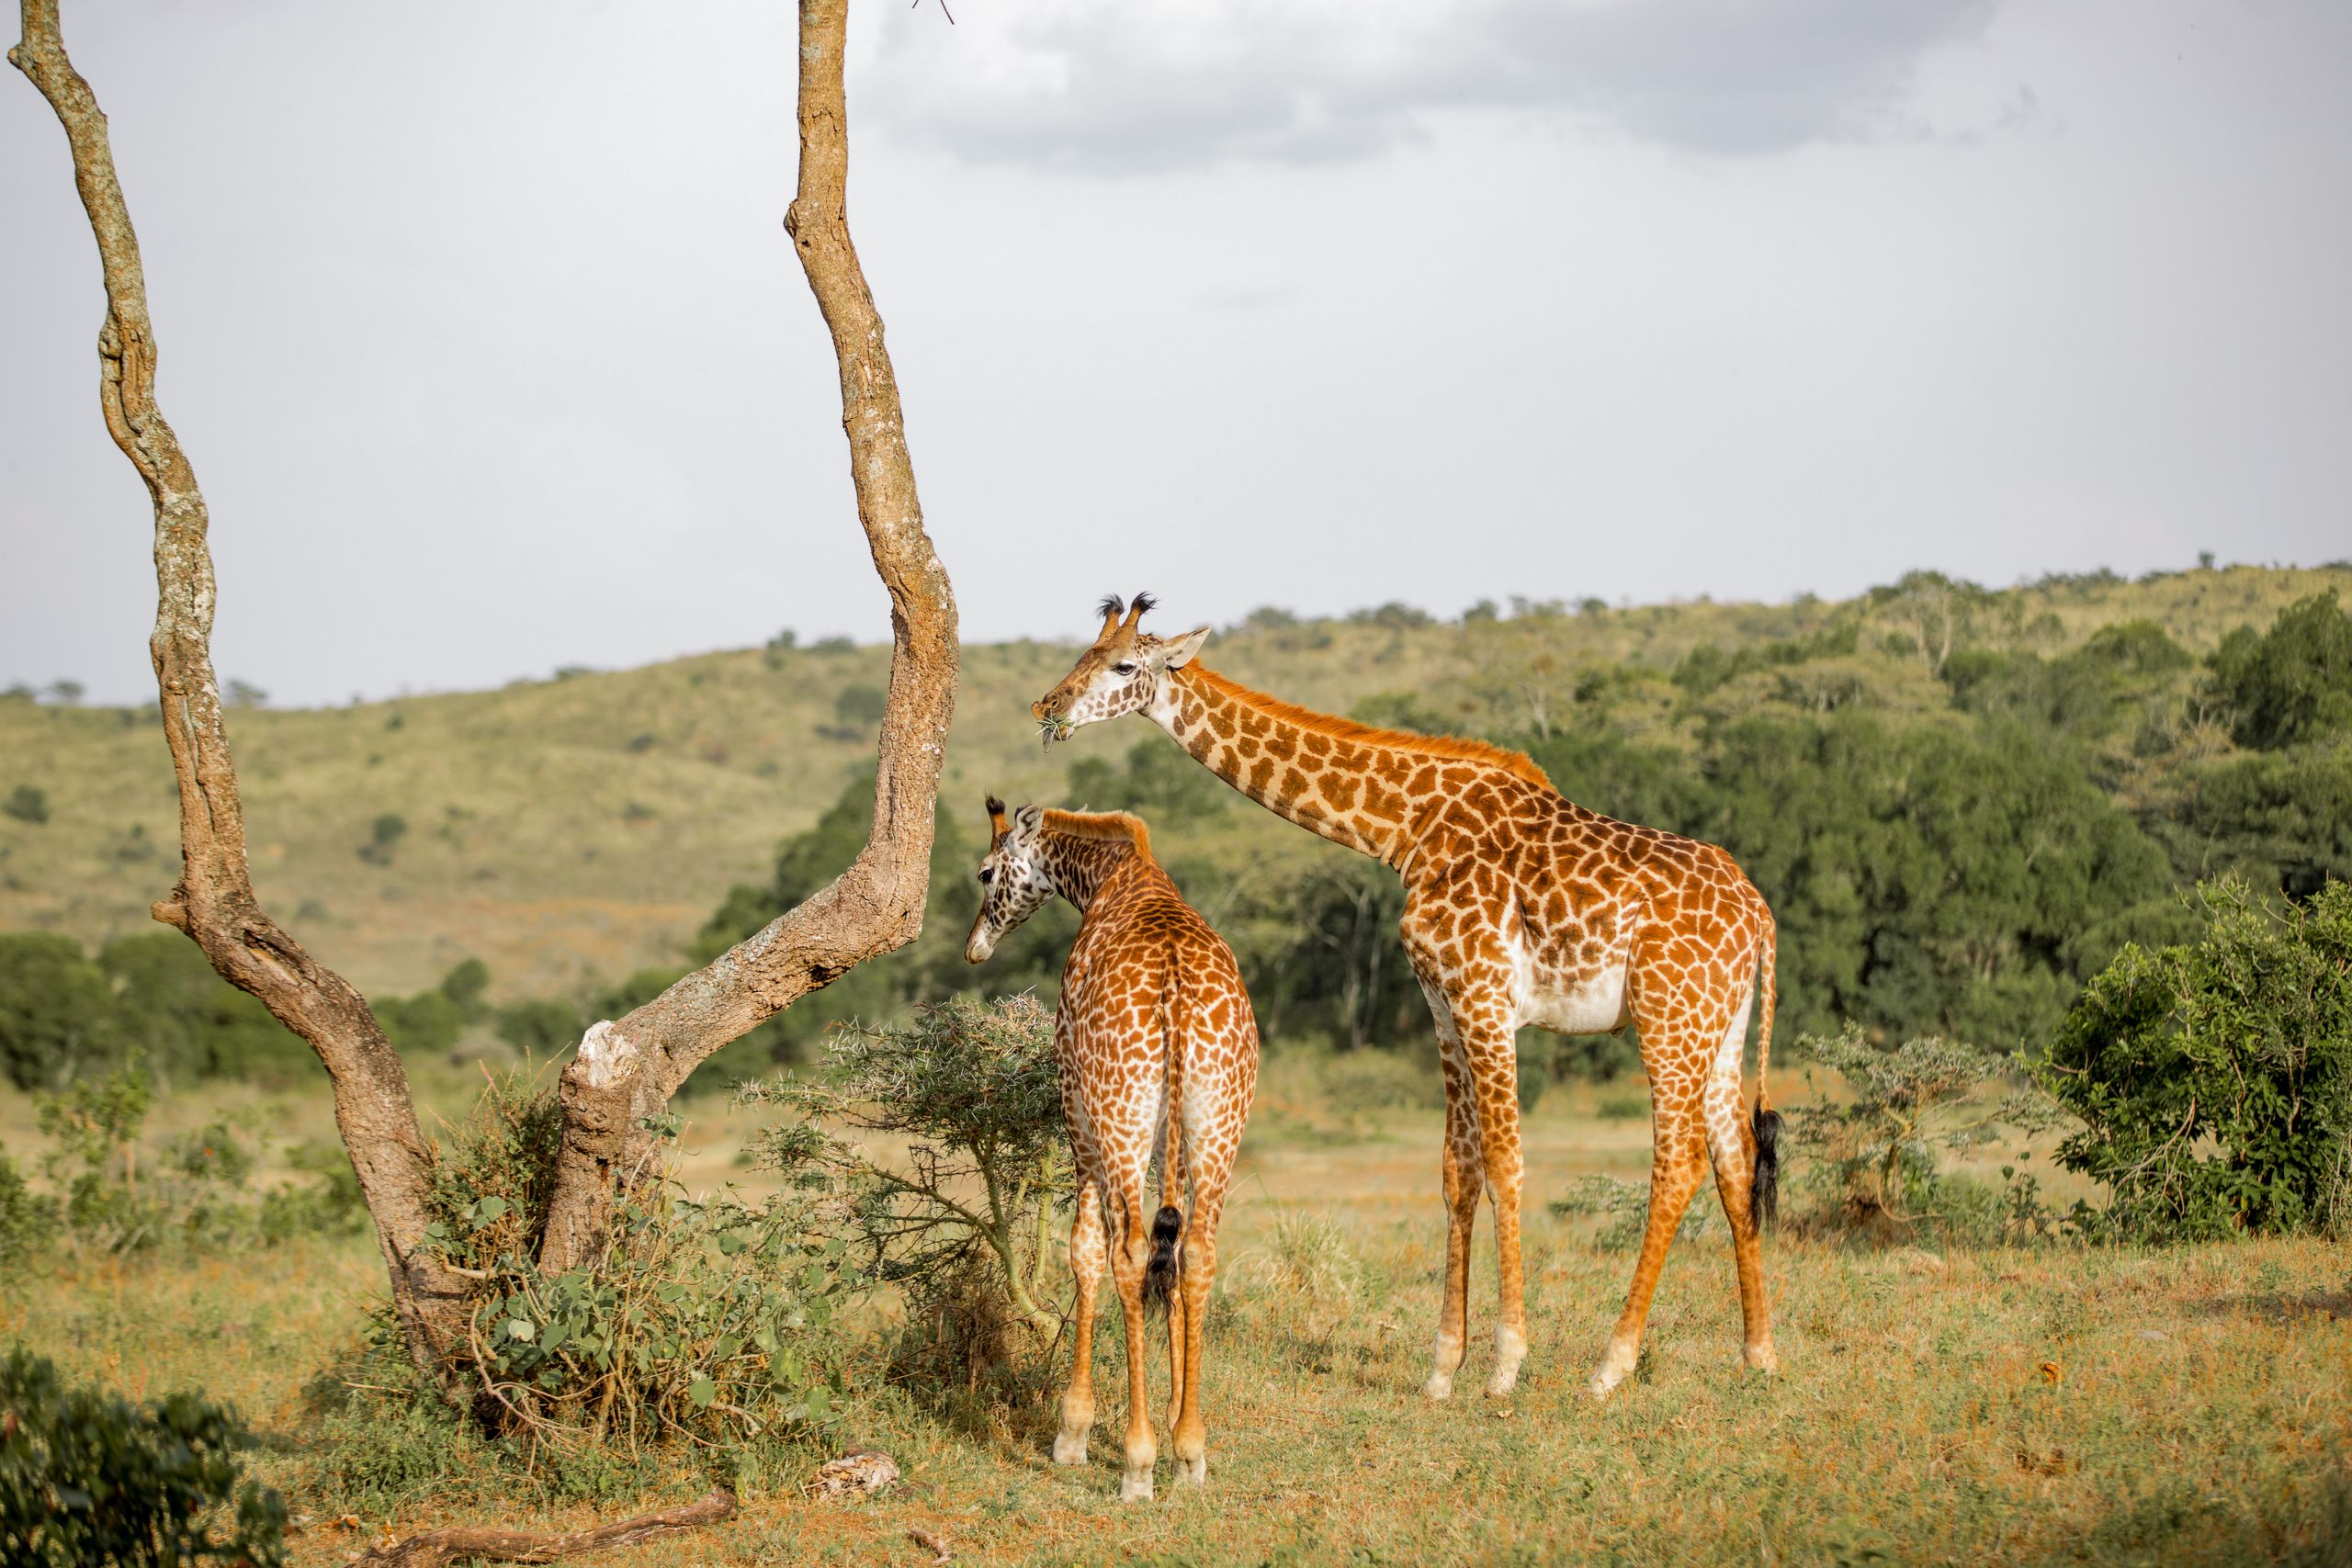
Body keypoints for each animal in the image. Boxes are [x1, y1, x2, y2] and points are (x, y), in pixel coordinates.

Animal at [965, 796, 1260, 1500]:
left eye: (986, 872)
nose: (974, 948)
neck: (1108, 878)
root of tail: (1176, 995)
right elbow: (1169, 1256)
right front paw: (1181, 1432)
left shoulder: (1075, 1109)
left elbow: (1084, 1249)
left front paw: (1072, 1431)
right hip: (1218, 1119)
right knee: (1196, 1251)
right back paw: (1190, 1449)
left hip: (1116, 1114)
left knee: (1125, 1252)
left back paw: (1136, 1461)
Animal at [1031, 595, 1781, 1401]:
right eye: (1081, 654)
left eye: (1123, 665)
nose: (1048, 707)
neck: (1406, 827)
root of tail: (1760, 913)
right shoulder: (1442, 1002)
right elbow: (1459, 1170)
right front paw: (1443, 1363)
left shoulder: (1485, 993)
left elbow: (1508, 1163)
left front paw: (1506, 1361)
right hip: (1720, 1027)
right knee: (1734, 1160)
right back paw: (1758, 1351)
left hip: (1667, 1020)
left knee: (1678, 1164)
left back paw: (1612, 1362)